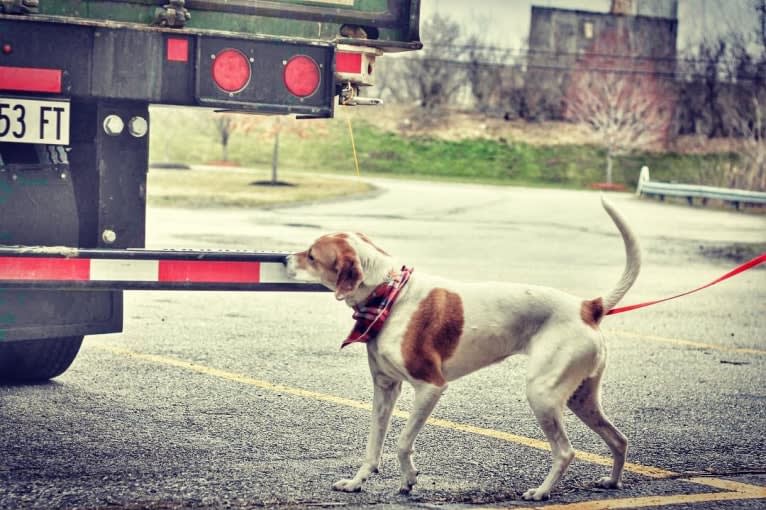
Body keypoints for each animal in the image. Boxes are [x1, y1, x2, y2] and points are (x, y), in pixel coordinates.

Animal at [284, 197, 640, 500]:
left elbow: (401, 442)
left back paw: (541, 492)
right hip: (581, 398)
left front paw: (408, 478)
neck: (390, 297)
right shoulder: (385, 389)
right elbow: (374, 445)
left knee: (565, 451)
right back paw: (612, 482)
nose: (286, 258)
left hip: (543, 394)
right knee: (618, 439)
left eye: (312, 255)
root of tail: (587, 307)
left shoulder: (431, 387)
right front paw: (358, 481)